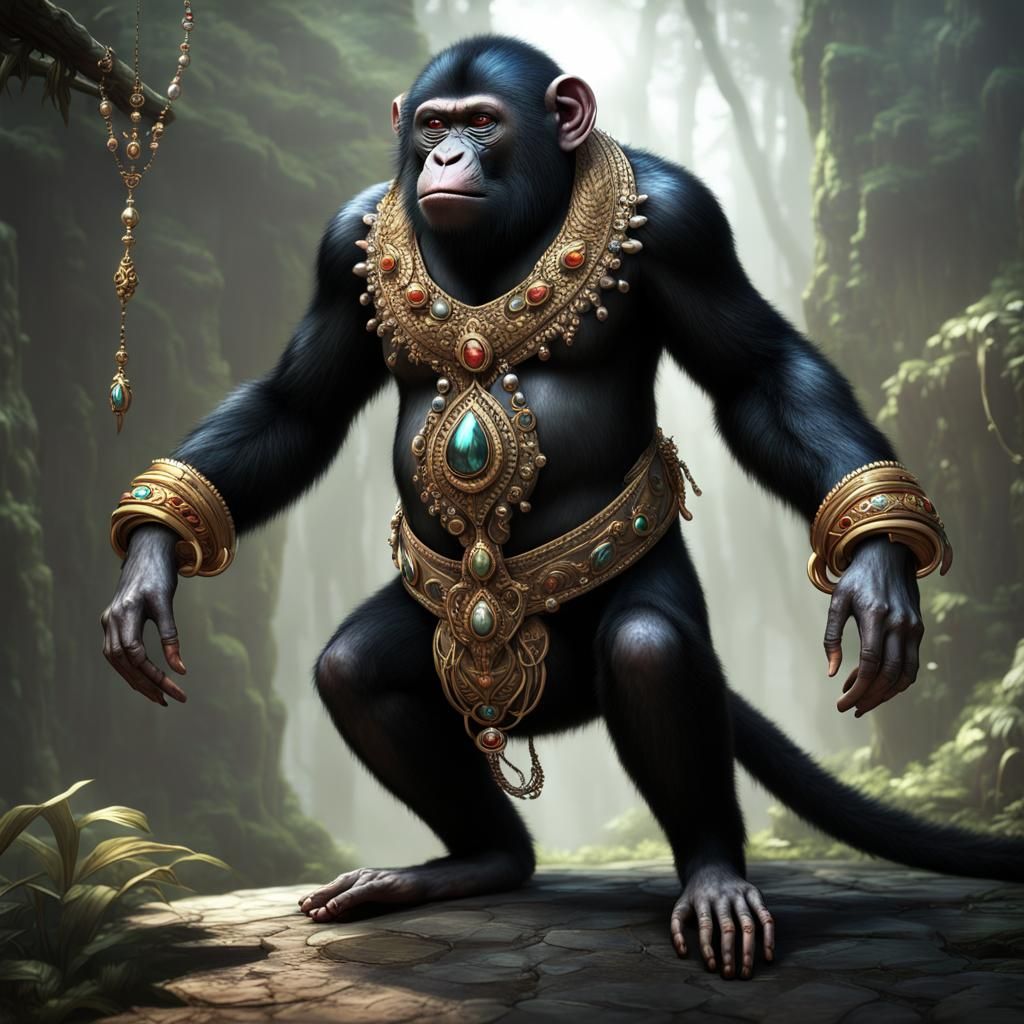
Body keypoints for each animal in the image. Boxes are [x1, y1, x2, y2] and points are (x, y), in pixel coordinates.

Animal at [101, 36, 1023, 981]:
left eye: (482, 123)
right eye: (432, 123)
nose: (444, 159)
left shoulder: (687, 224)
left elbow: (759, 375)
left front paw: (879, 566)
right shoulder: (336, 246)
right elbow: (298, 408)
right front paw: (152, 557)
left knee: (650, 649)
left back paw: (713, 876)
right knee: (351, 670)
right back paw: (481, 861)